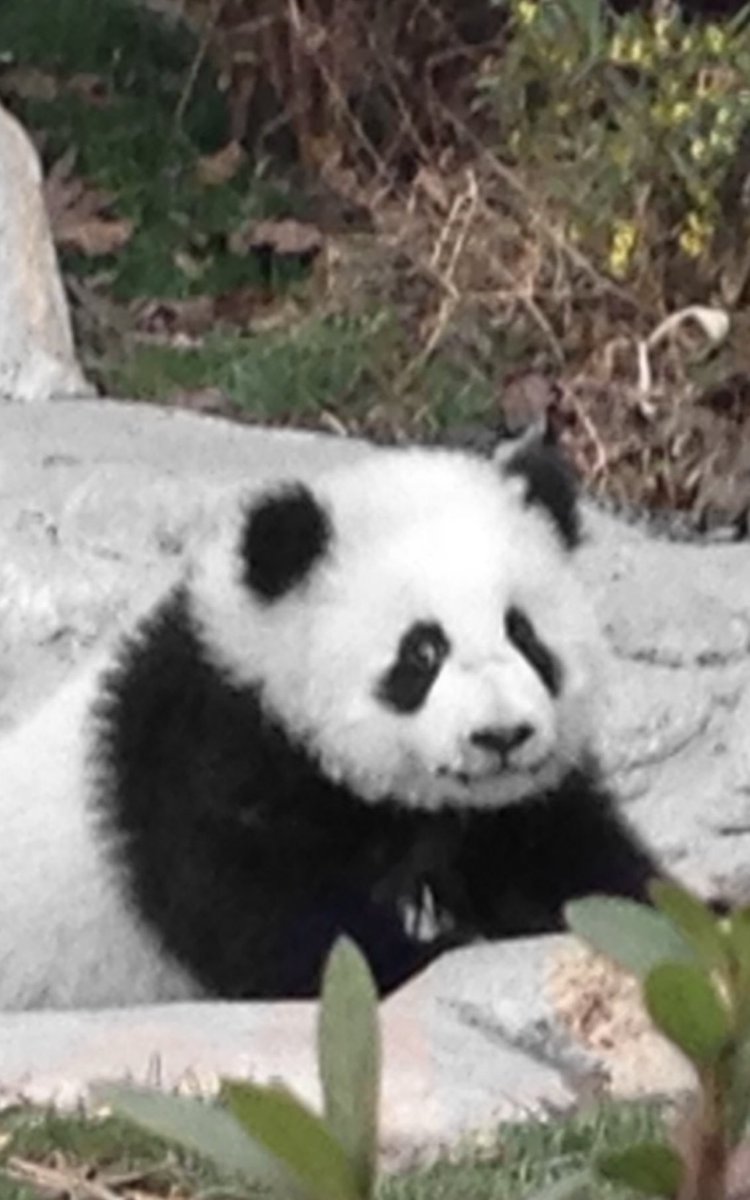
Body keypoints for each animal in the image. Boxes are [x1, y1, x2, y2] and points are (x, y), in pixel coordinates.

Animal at [0, 433, 663, 1011]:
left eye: (524, 634)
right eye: (422, 652)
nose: (501, 736)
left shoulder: (511, 814)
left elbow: (581, 864)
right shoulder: (211, 764)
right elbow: (293, 932)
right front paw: (438, 945)